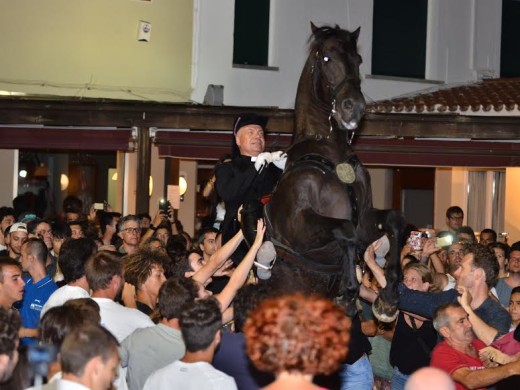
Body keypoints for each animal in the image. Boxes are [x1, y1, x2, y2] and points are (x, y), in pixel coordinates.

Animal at [264, 22, 406, 320]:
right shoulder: (300, 227)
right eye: (327, 57)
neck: (329, 153)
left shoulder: (365, 220)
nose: (353, 107)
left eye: (358, 60)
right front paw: (348, 289)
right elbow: (345, 229)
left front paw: (387, 297)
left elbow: (394, 220)